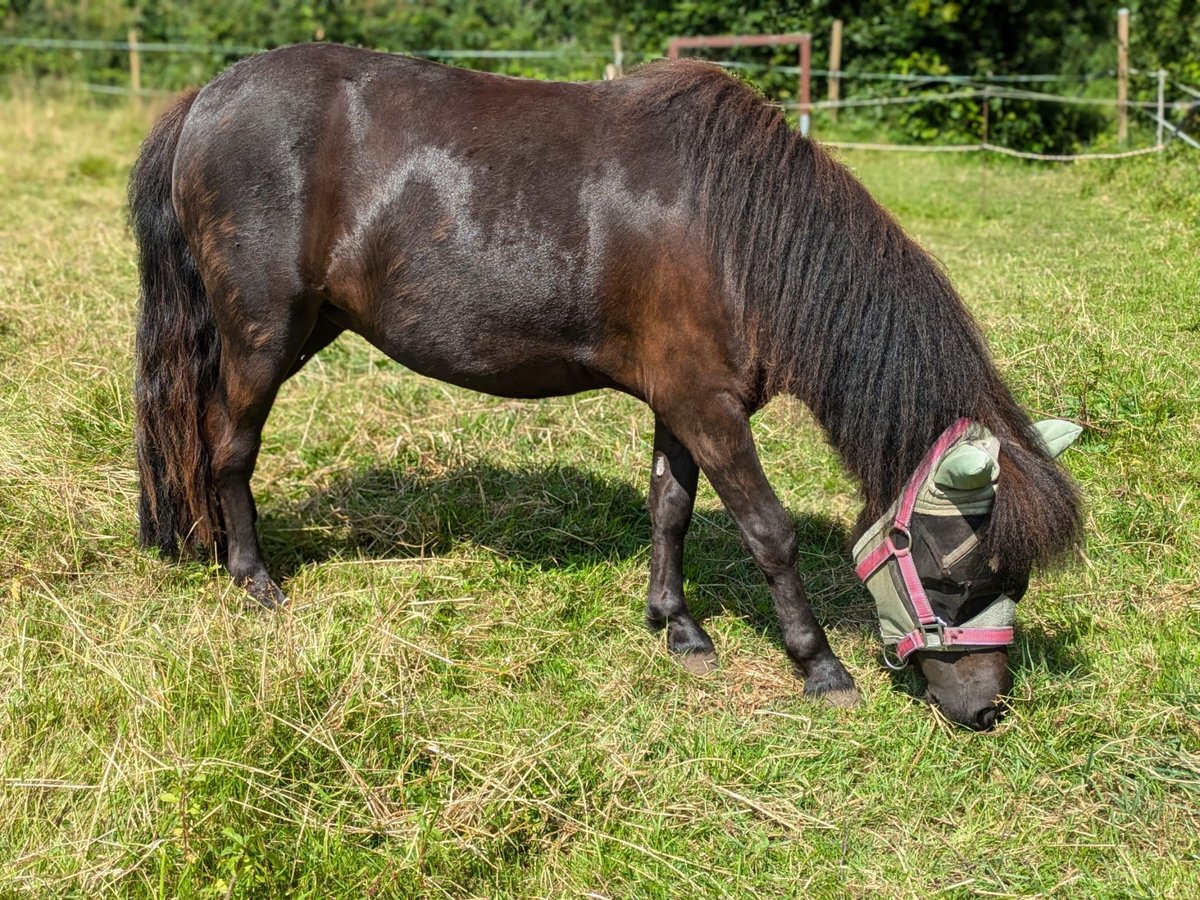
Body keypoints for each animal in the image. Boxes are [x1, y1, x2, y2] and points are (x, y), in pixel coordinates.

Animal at [126, 44, 1084, 734]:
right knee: (228, 447)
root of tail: (205, 99)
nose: (987, 710)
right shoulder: (708, 409)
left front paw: (678, 627)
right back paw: (251, 577)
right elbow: (768, 533)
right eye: (962, 570)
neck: (736, 231)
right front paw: (820, 667)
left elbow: (670, 509)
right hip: (263, 336)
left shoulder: (682, 401)